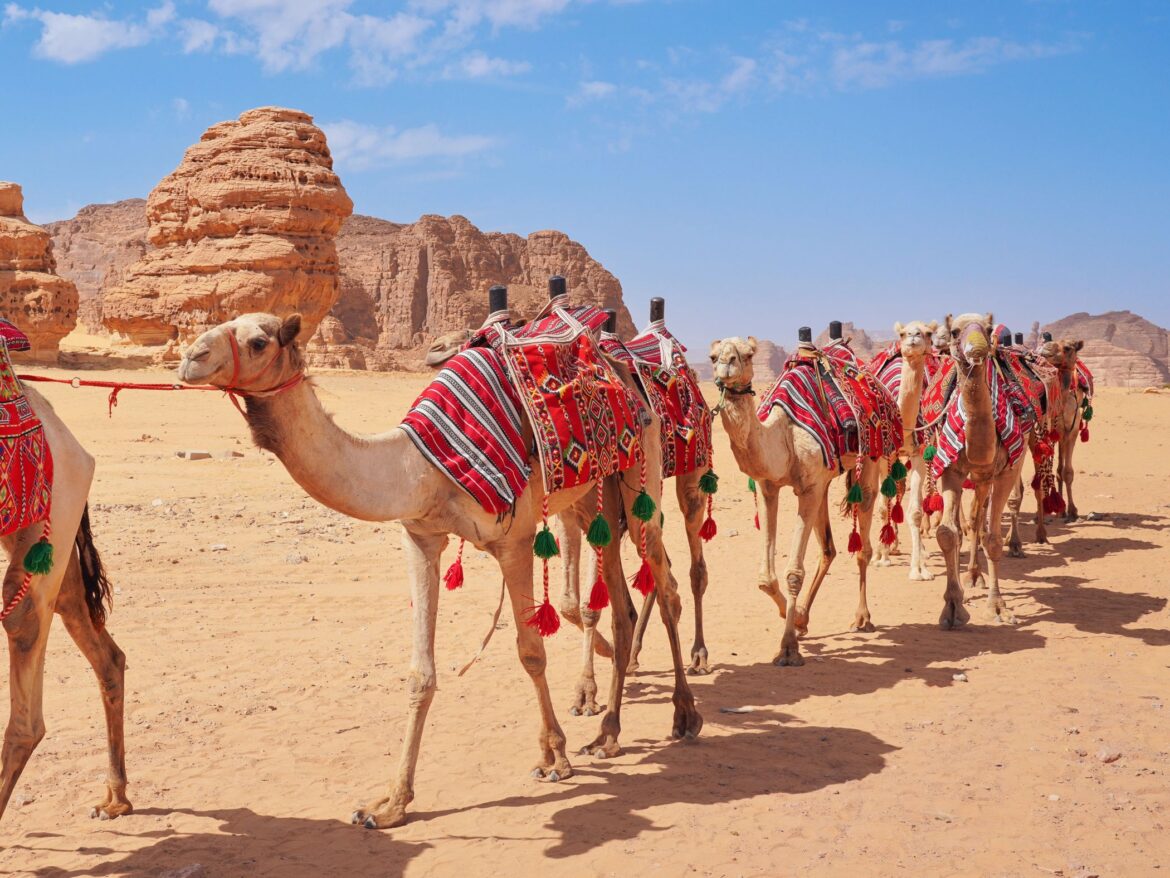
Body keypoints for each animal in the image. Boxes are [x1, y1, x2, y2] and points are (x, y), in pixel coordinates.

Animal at [177, 311, 697, 833]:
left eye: (258, 342)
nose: (189, 358)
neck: (422, 468)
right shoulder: (420, 537)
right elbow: (419, 674)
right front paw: (389, 803)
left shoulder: (514, 540)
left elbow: (531, 653)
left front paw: (554, 757)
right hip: (596, 495)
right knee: (619, 602)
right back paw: (608, 733)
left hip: (641, 471)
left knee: (667, 584)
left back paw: (684, 714)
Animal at [702, 337, 879, 664]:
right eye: (712, 356)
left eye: (748, 355)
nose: (727, 364)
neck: (781, 435)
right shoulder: (769, 486)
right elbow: (765, 578)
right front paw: (795, 619)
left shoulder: (807, 488)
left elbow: (794, 573)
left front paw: (787, 648)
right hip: (825, 479)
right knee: (829, 548)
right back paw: (806, 616)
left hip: (871, 457)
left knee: (864, 541)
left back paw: (862, 618)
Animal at [870, 320, 940, 580]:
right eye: (902, 333)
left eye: (928, 332)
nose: (913, 338)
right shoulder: (883, 456)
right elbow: (882, 506)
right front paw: (880, 557)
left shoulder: (919, 454)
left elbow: (916, 512)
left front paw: (919, 569)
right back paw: (885, 548)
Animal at [926, 313, 1029, 627]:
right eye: (955, 331)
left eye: (987, 328)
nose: (979, 347)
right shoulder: (950, 469)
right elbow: (948, 533)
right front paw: (952, 607)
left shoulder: (1007, 471)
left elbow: (993, 539)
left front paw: (998, 607)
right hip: (977, 477)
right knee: (971, 520)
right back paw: (968, 577)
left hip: (990, 475)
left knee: (978, 520)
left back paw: (976, 575)